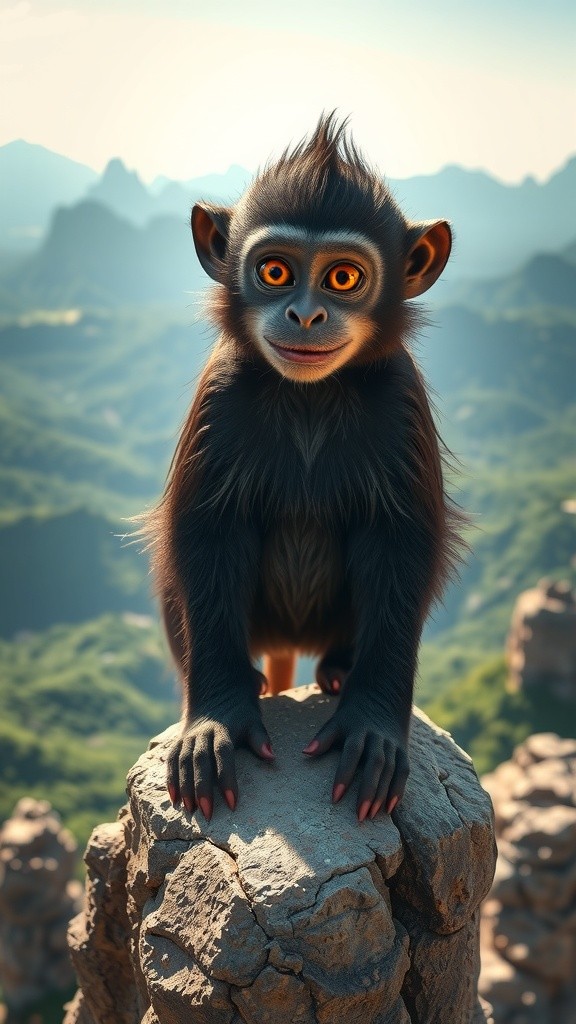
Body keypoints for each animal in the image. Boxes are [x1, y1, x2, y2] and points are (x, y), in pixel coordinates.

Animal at [146, 113, 465, 824]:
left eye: (342, 278)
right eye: (274, 270)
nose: (305, 313)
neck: (310, 397)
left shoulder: (400, 399)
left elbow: (401, 544)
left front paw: (372, 731)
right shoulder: (221, 394)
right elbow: (206, 535)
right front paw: (214, 723)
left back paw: (341, 670)